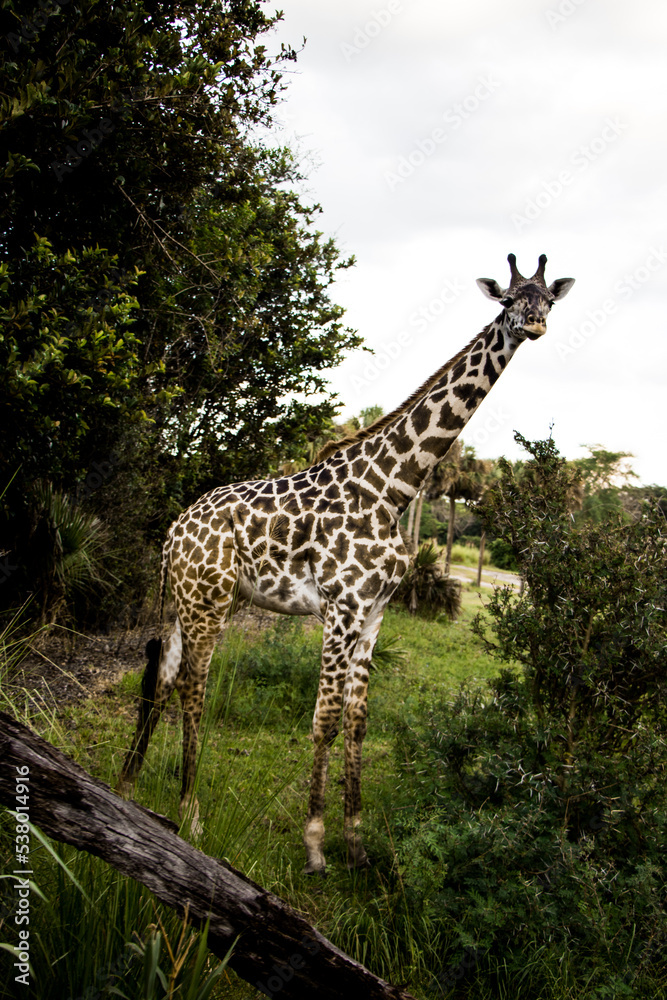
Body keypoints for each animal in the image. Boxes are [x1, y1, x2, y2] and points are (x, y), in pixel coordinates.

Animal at [118, 253, 574, 873]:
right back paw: (189, 814)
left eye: (547, 300)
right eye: (508, 300)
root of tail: (172, 532)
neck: (393, 490)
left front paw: (356, 843)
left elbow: (357, 721)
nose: (534, 324)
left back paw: (129, 786)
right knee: (193, 685)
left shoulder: (376, 613)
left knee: (163, 676)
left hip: (193, 599)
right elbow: (324, 720)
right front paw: (314, 845)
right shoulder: (342, 608)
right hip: (207, 601)